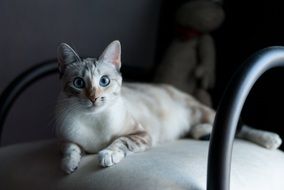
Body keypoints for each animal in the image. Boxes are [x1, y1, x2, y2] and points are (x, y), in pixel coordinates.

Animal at [55, 40, 282, 174]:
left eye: (104, 81)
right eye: (79, 83)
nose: (94, 98)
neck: (95, 121)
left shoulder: (141, 134)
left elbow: (120, 142)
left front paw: (107, 154)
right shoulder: (66, 138)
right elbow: (70, 149)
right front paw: (69, 165)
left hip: (204, 113)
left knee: (238, 127)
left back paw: (271, 139)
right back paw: (203, 134)